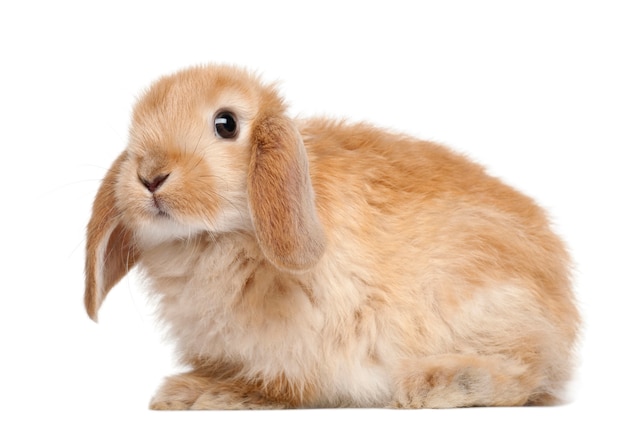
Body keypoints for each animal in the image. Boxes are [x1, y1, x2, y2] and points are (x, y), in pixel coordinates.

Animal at [83, 63, 576, 408]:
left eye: (226, 124)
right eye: (134, 126)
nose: (149, 175)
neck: (214, 236)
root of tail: (564, 316)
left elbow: (279, 388)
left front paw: (205, 394)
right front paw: (184, 392)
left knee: (527, 374)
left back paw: (436, 384)